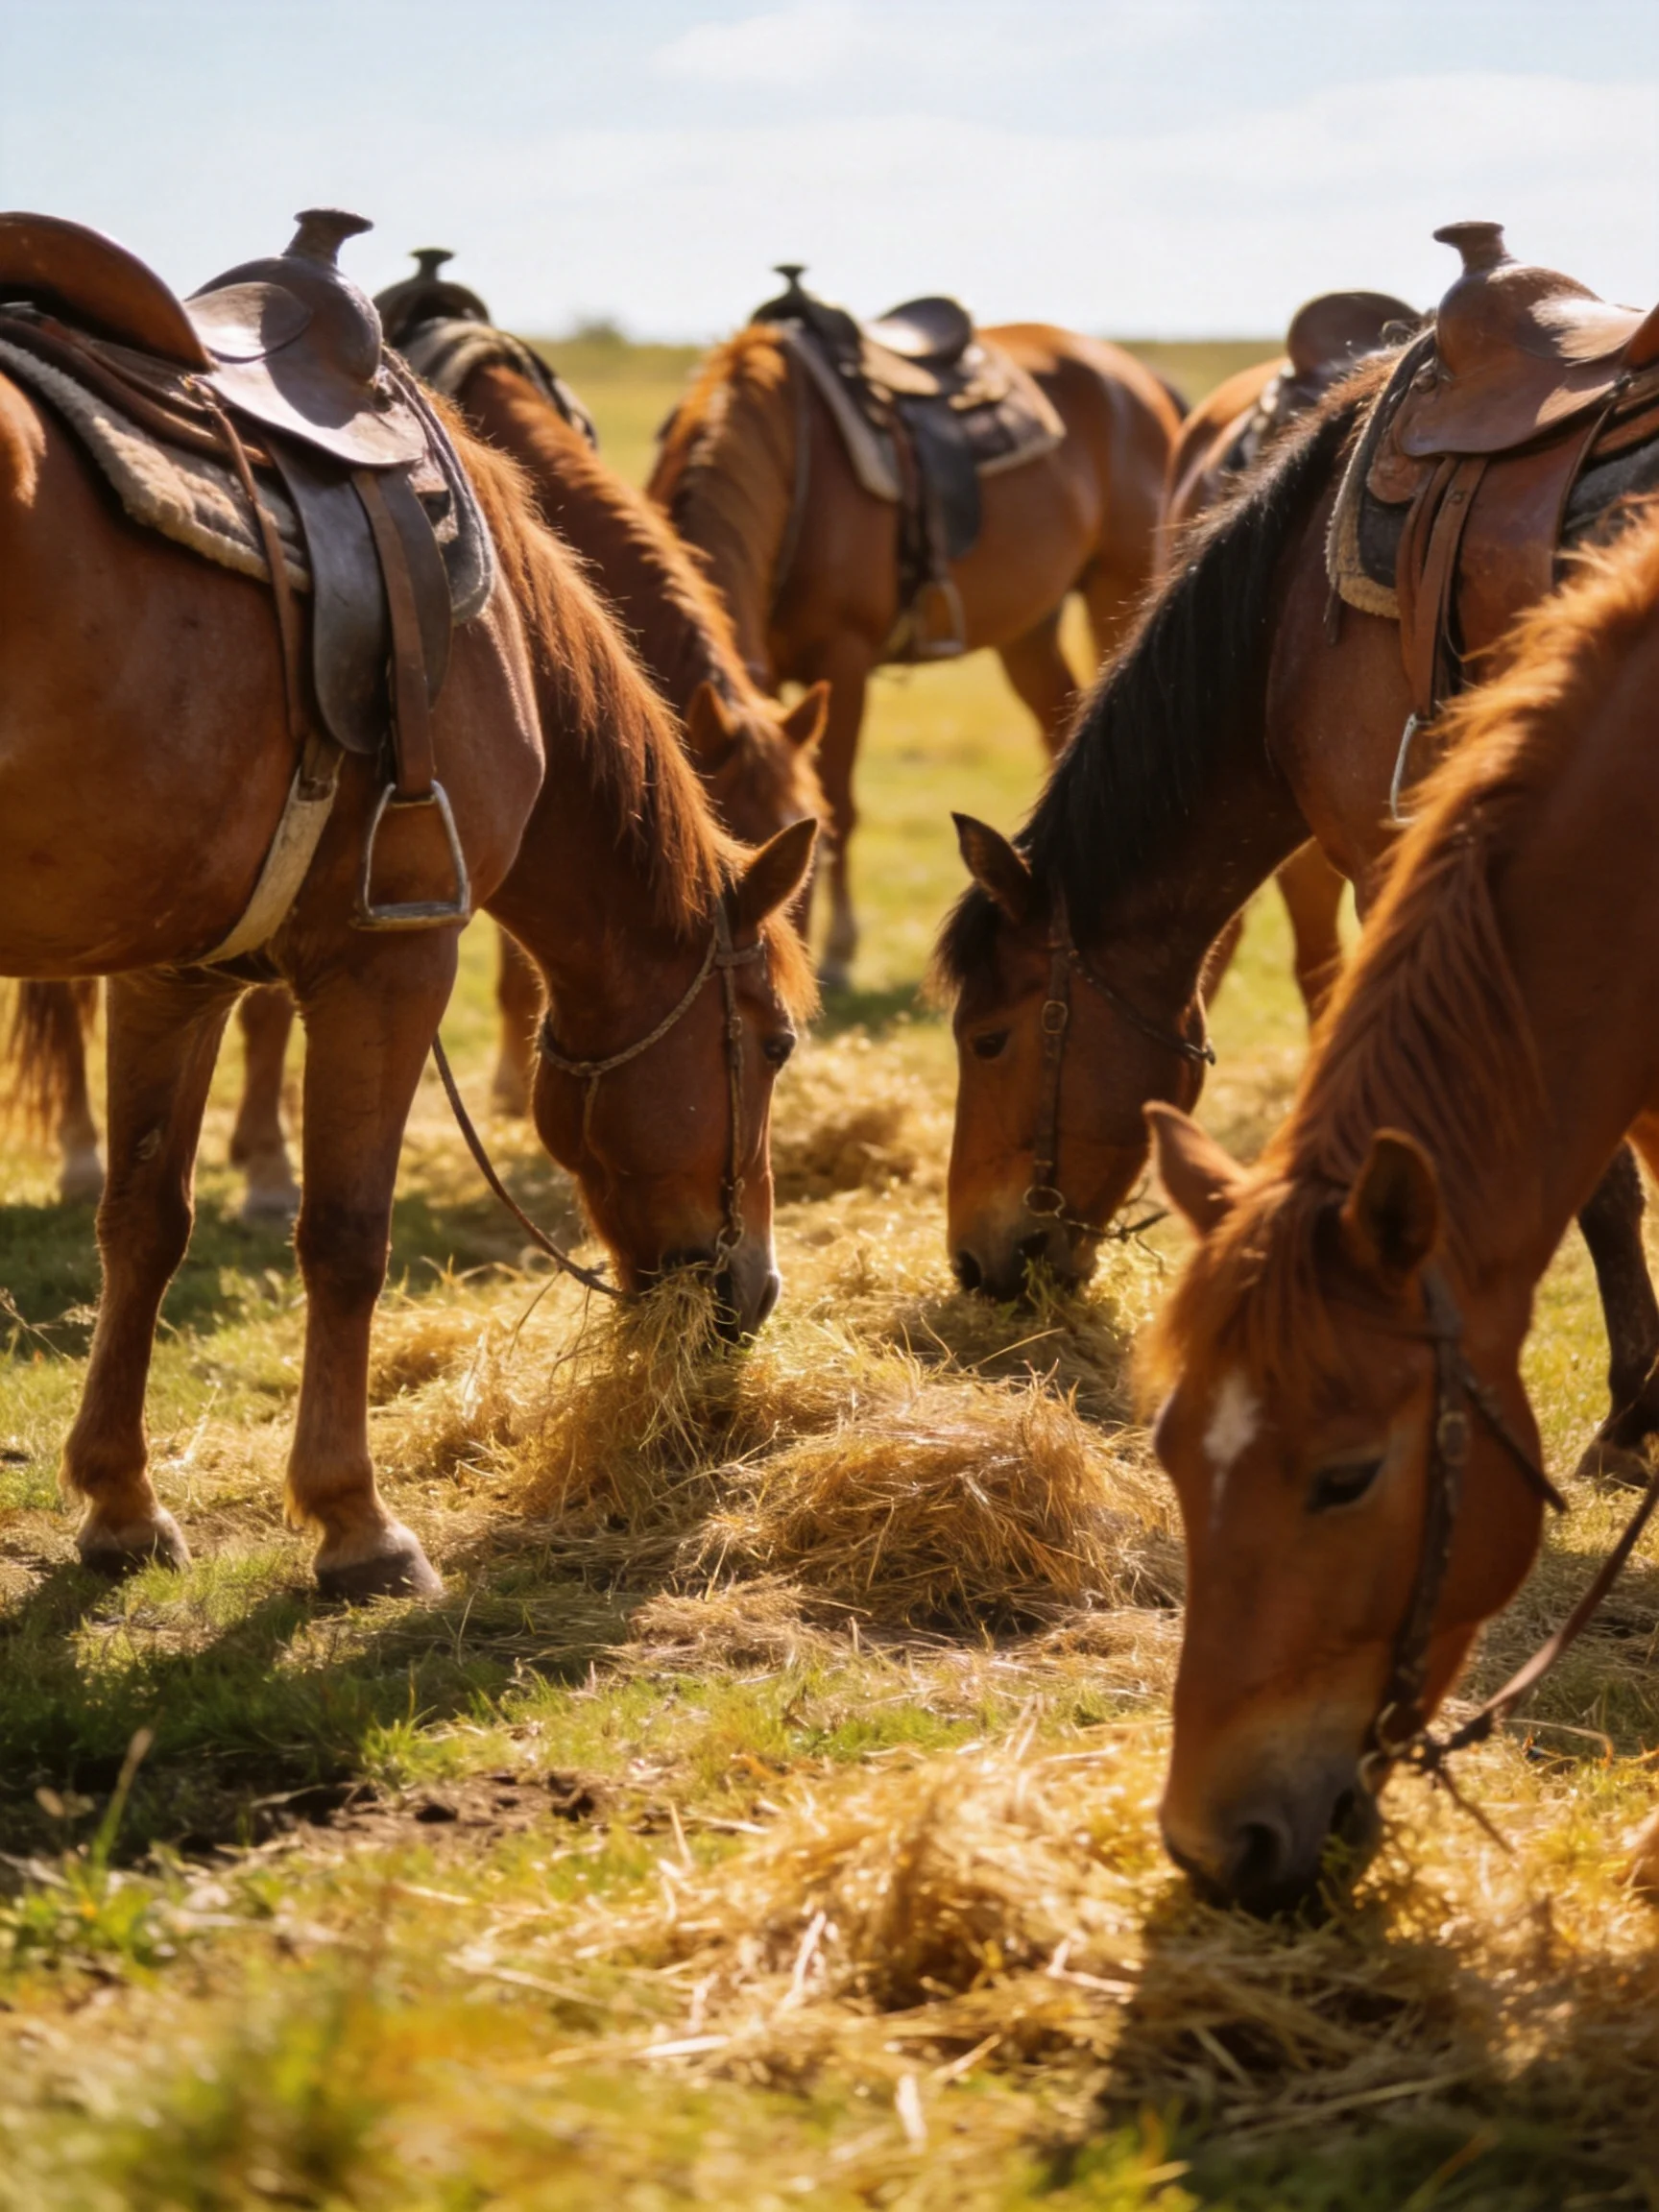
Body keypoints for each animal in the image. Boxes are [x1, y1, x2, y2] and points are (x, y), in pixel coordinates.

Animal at [648, 316, 1182, 984]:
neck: (793, 458)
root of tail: (1137, 375)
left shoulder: (843, 661)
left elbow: (839, 805)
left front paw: (841, 950)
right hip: (1029, 629)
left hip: (1119, 590)